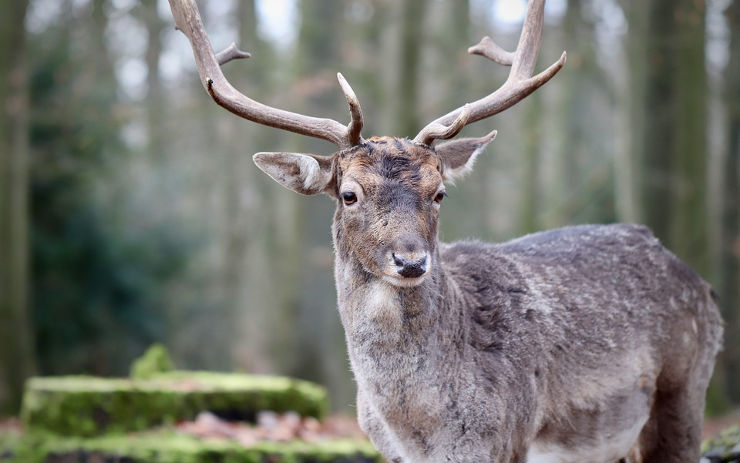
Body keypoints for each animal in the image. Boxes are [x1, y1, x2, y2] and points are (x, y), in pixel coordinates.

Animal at [166, 1, 724, 462]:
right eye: (349, 194)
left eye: (439, 193)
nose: (411, 261)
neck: (421, 428)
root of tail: (702, 284)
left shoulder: (509, 438)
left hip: (684, 390)